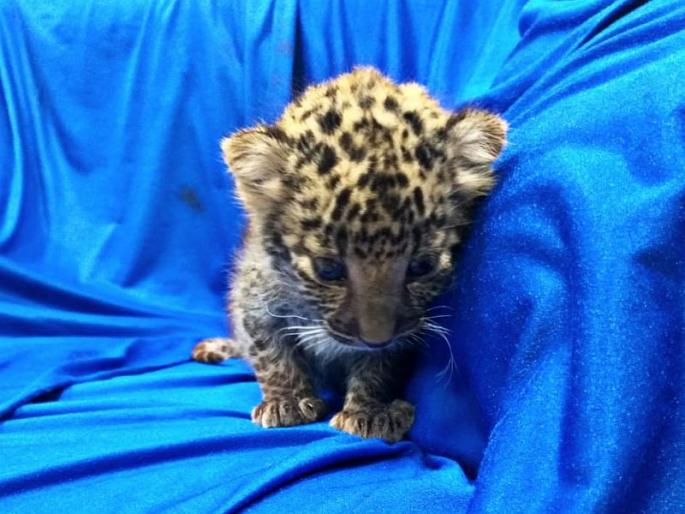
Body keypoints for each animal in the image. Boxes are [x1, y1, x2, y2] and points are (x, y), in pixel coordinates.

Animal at [192, 67, 507, 443]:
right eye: (328, 270)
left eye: (422, 266)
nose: (375, 338)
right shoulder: (253, 299)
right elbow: (269, 351)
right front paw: (287, 402)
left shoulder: (402, 338)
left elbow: (381, 366)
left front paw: (369, 411)